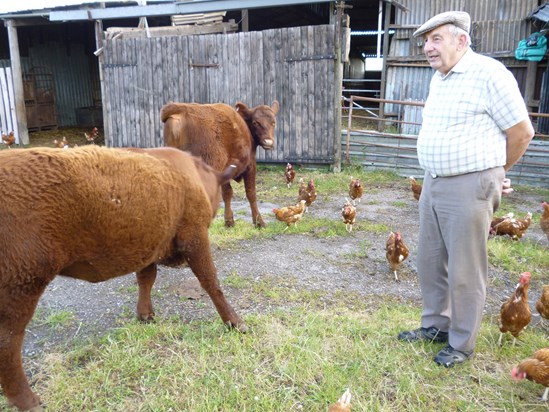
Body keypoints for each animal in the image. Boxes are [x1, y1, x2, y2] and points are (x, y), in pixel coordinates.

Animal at [0, 146, 244, 412]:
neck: (195, 175)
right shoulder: (195, 237)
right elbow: (211, 281)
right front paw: (234, 322)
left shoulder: (150, 246)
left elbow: (146, 278)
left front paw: (145, 314)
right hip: (22, 285)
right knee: (8, 342)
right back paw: (28, 400)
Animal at [158, 100, 278, 229]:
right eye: (256, 122)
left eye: (273, 122)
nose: (268, 142)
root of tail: (181, 108)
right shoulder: (250, 165)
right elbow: (251, 193)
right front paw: (259, 222)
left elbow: (227, 193)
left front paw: (229, 221)